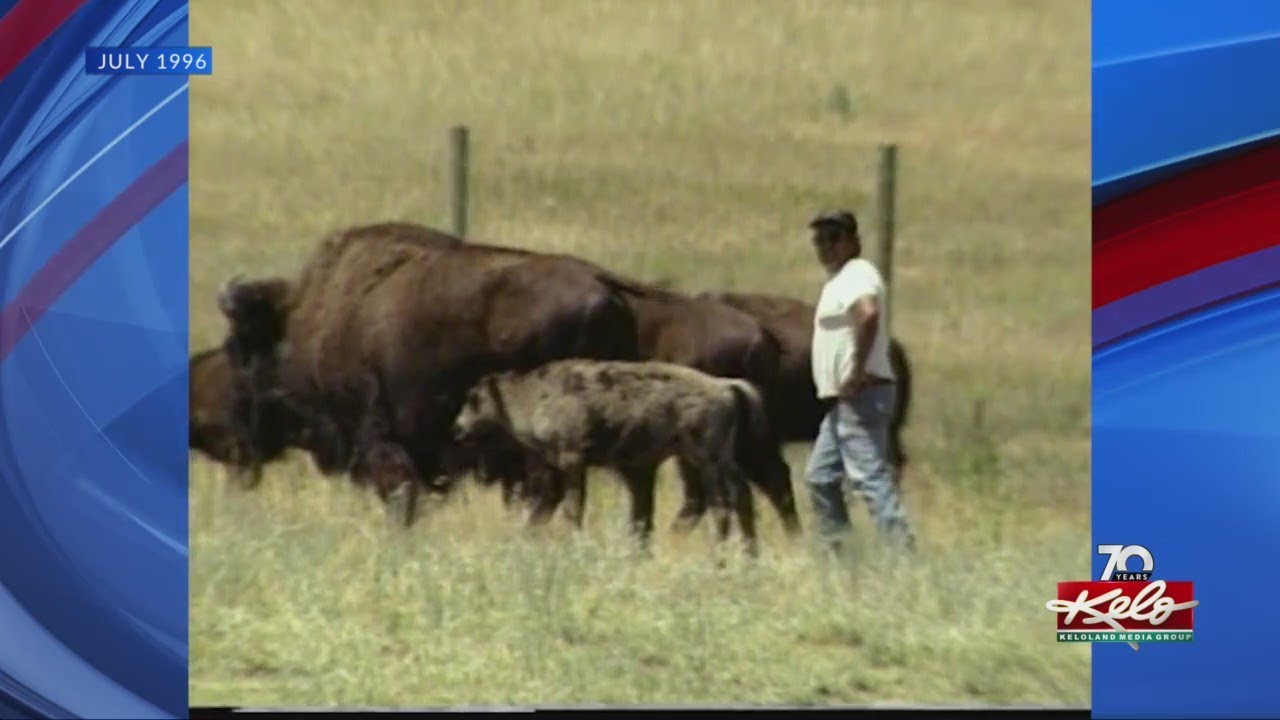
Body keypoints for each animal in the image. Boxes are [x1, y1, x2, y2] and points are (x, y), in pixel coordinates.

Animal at [450, 359, 795, 555]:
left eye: (473, 399)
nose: (458, 428)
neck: (534, 394)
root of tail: (726, 386)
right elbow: (544, 506)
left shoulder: (573, 461)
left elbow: (572, 507)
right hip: (713, 460)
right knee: (741, 496)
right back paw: (749, 553)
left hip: (707, 459)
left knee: (723, 502)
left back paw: (722, 552)